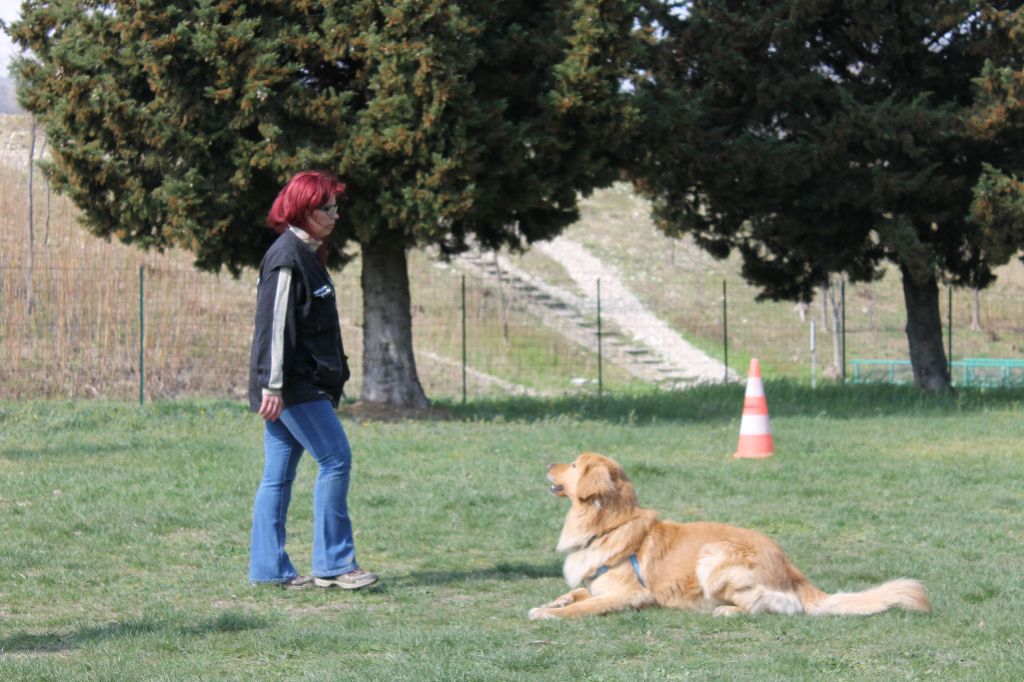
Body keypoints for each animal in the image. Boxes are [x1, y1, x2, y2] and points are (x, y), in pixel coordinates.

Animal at [528, 448, 929, 618]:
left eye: (574, 465)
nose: (546, 463)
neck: (608, 525)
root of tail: (790, 567)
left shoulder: (632, 593)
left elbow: (588, 604)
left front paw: (551, 614)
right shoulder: (596, 583)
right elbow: (578, 591)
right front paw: (554, 602)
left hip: (714, 557)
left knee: (771, 608)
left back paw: (726, 611)